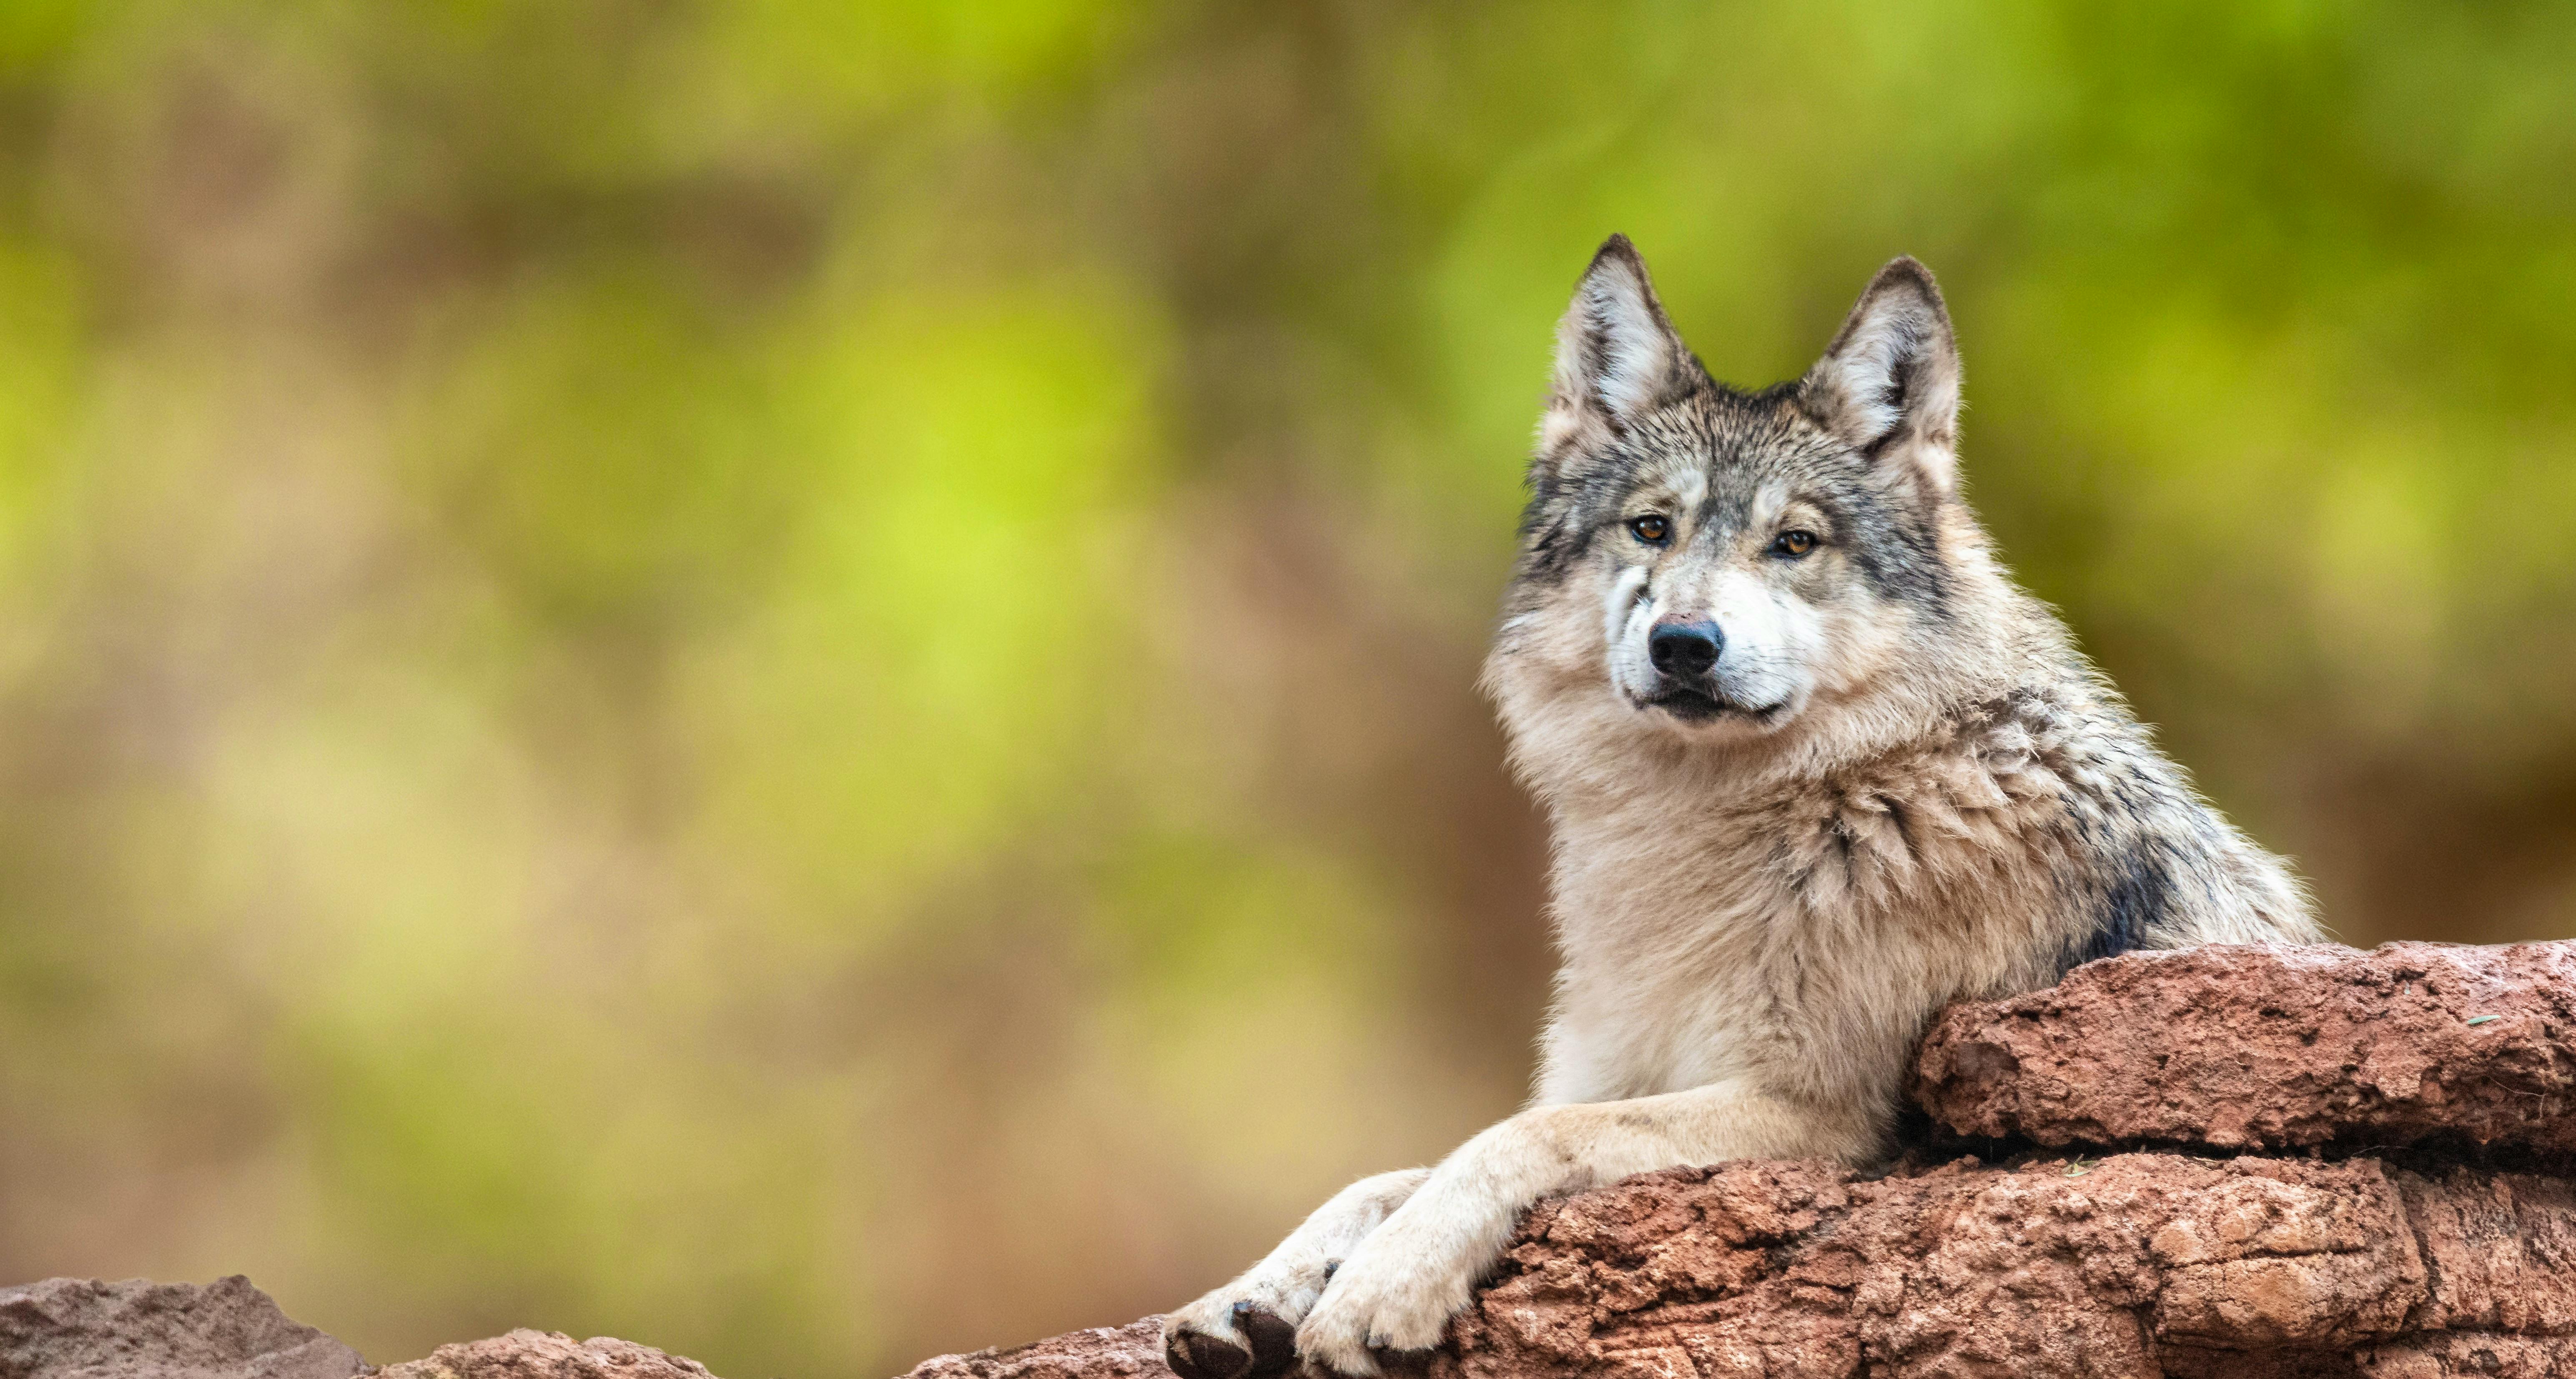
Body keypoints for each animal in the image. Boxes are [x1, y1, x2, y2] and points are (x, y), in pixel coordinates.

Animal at [1161, 238, 2320, 1379]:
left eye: (1793, 543)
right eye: (1649, 529)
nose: (1682, 643)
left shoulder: (1814, 1116)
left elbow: (1514, 1139)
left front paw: (1379, 1290)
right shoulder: (1617, 1068)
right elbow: (1388, 1174)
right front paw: (1242, 1297)